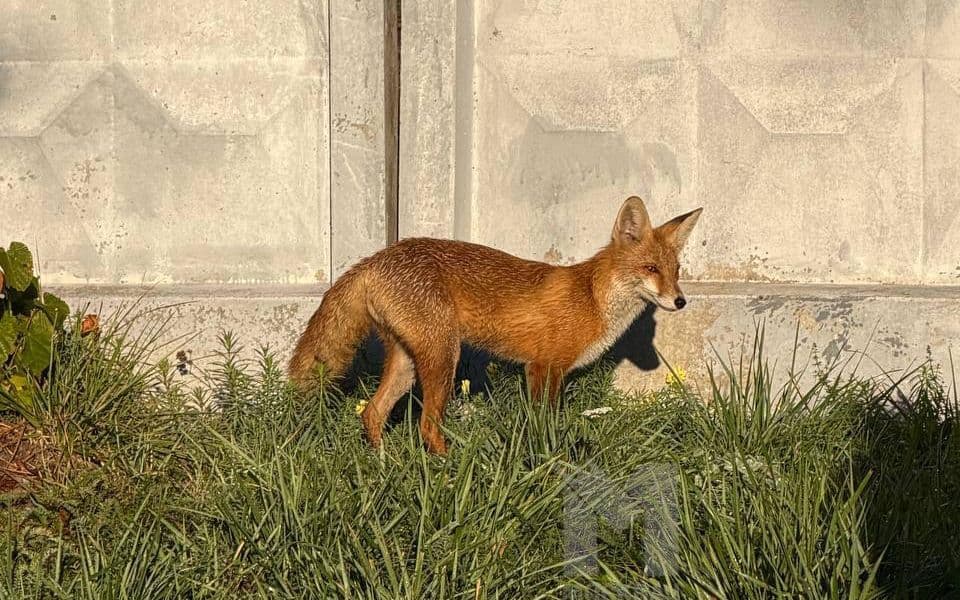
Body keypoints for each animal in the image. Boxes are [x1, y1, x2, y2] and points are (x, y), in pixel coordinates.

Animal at [288, 196, 702, 455]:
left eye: (676, 271)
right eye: (651, 268)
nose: (681, 301)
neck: (592, 299)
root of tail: (375, 257)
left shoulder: (546, 371)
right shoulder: (543, 368)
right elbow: (544, 426)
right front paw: (550, 464)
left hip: (409, 362)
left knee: (372, 413)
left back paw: (382, 465)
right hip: (444, 360)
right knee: (426, 426)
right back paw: (447, 469)